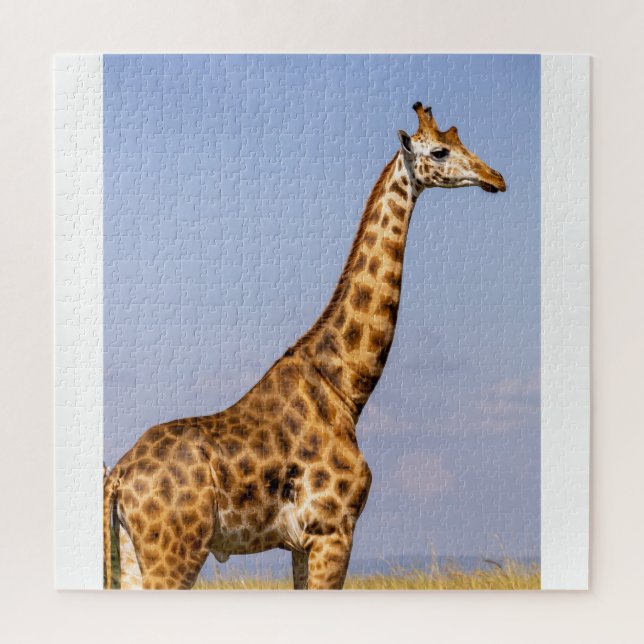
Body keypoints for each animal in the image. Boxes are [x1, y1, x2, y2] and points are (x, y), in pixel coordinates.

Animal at [103, 102, 506, 590]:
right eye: (440, 151)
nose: (495, 177)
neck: (346, 389)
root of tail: (118, 477)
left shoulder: (301, 544)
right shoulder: (334, 530)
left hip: (132, 554)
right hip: (174, 553)